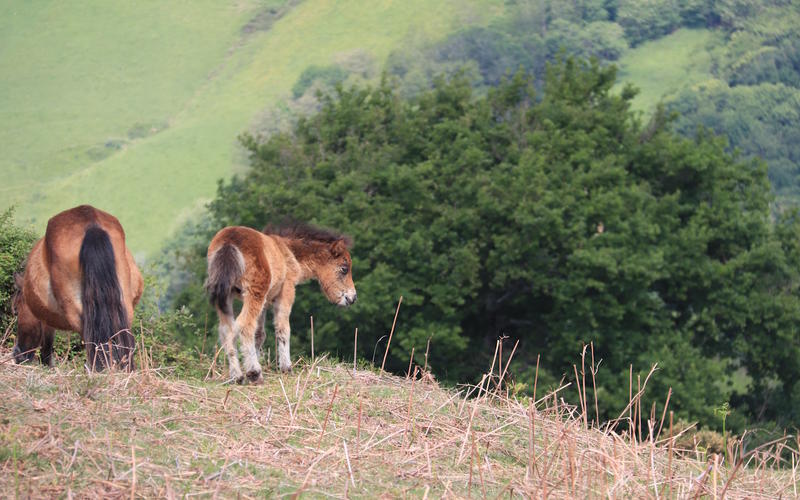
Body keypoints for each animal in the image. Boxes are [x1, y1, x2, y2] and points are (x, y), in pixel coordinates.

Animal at [16, 205, 144, 371]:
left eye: (17, 309)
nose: (17, 355)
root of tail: (91, 224)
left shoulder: (46, 320)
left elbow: (46, 349)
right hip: (123, 306)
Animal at [205, 222, 357, 383]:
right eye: (344, 269)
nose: (352, 298)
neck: (289, 253)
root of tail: (229, 242)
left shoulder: (265, 303)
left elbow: (259, 335)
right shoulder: (286, 291)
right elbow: (283, 329)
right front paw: (286, 368)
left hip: (225, 297)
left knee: (226, 330)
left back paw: (237, 376)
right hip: (254, 293)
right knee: (245, 326)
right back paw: (254, 373)